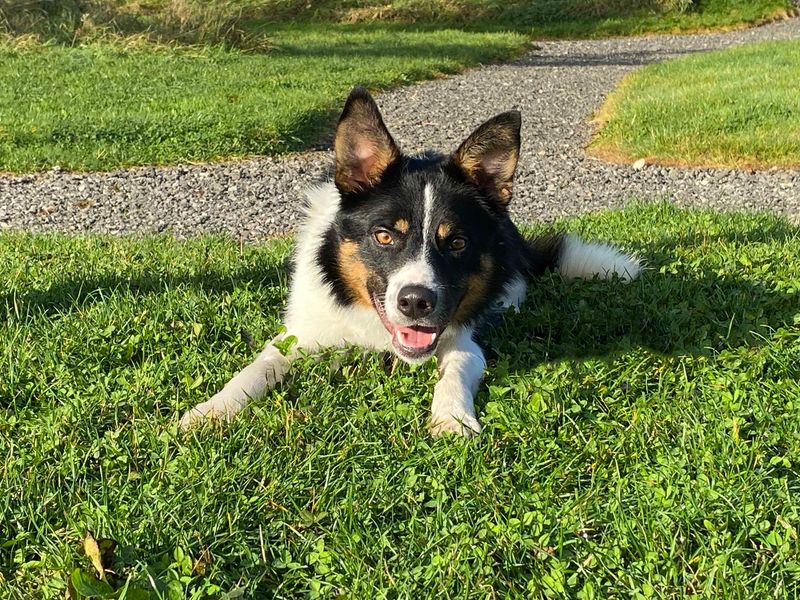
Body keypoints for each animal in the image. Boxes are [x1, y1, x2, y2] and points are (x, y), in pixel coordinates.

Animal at [178, 85, 640, 436]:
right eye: (384, 236)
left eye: (456, 242)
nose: (416, 302)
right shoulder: (300, 334)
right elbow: (257, 368)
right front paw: (210, 410)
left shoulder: (462, 338)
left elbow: (457, 367)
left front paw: (453, 418)